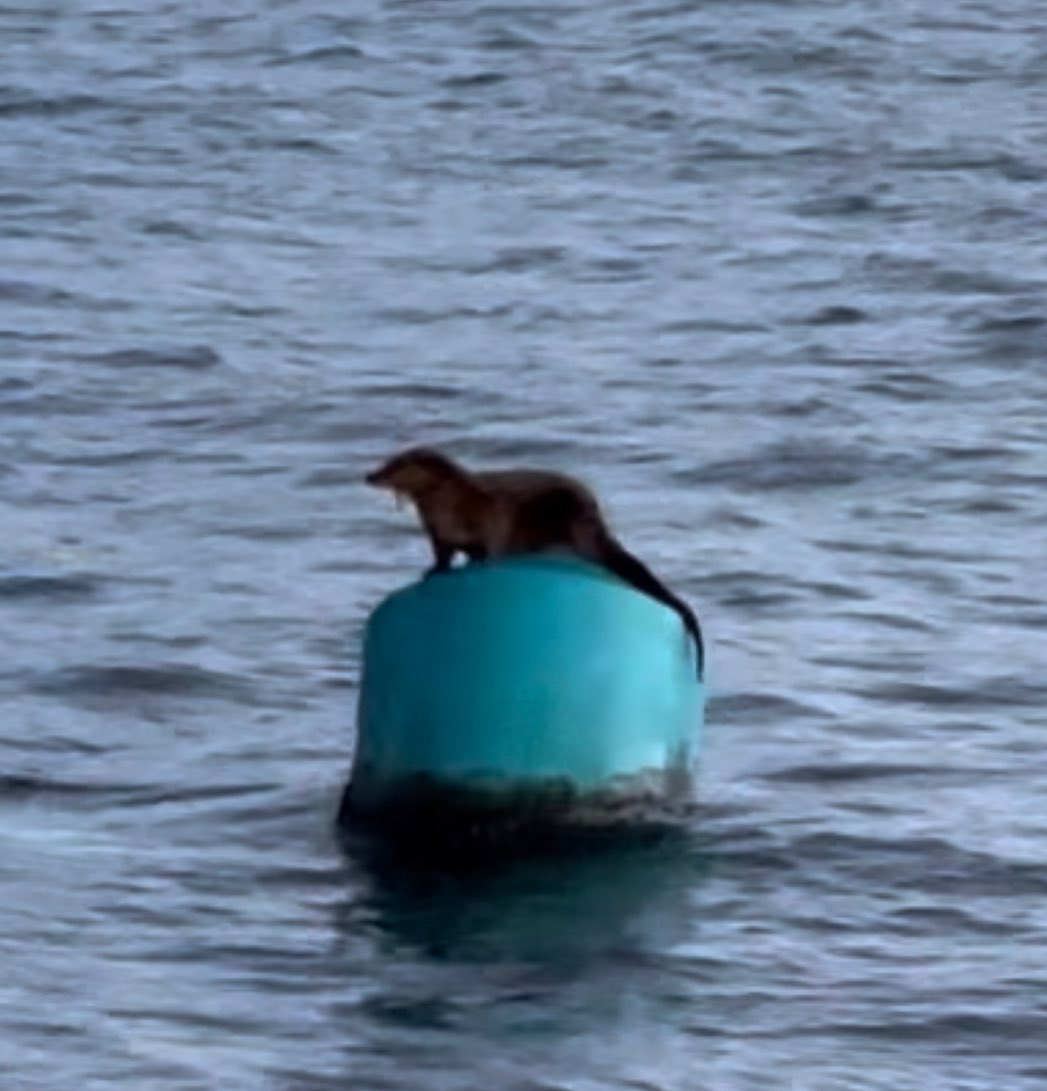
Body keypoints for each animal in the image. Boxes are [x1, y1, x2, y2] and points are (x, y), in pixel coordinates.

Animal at [366, 446, 703, 676]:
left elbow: (491, 548)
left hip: (571, 517)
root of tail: (595, 516)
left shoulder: (492, 517)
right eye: (386, 462)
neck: (449, 504)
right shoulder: (438, 533)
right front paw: (434, 571)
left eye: (395, 465)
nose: (371, 474)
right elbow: (443, 556)